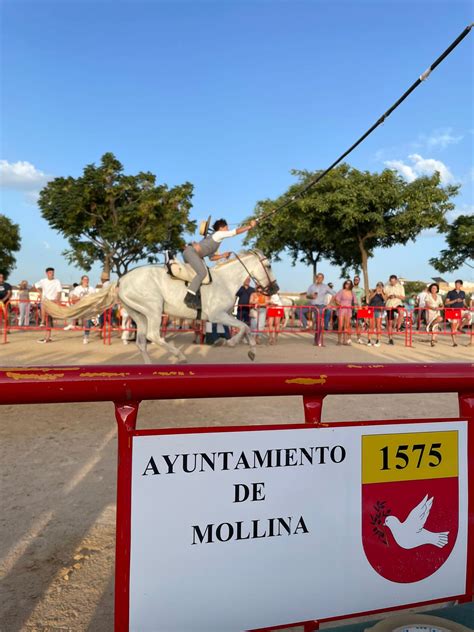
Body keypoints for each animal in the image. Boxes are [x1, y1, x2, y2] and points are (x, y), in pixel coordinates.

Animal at [43, 249, 278, 362]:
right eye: (268, 265)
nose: (275, 288)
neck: (225, 280)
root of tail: (121, 280)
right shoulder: (217, 315)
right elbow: (245, 326)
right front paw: (238, 345)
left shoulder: (223, 315)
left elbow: (245, 327)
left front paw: (247, 349)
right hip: (153, 309)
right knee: (154, 336)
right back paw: (180, 356)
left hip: (138, 314)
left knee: (141, 342)